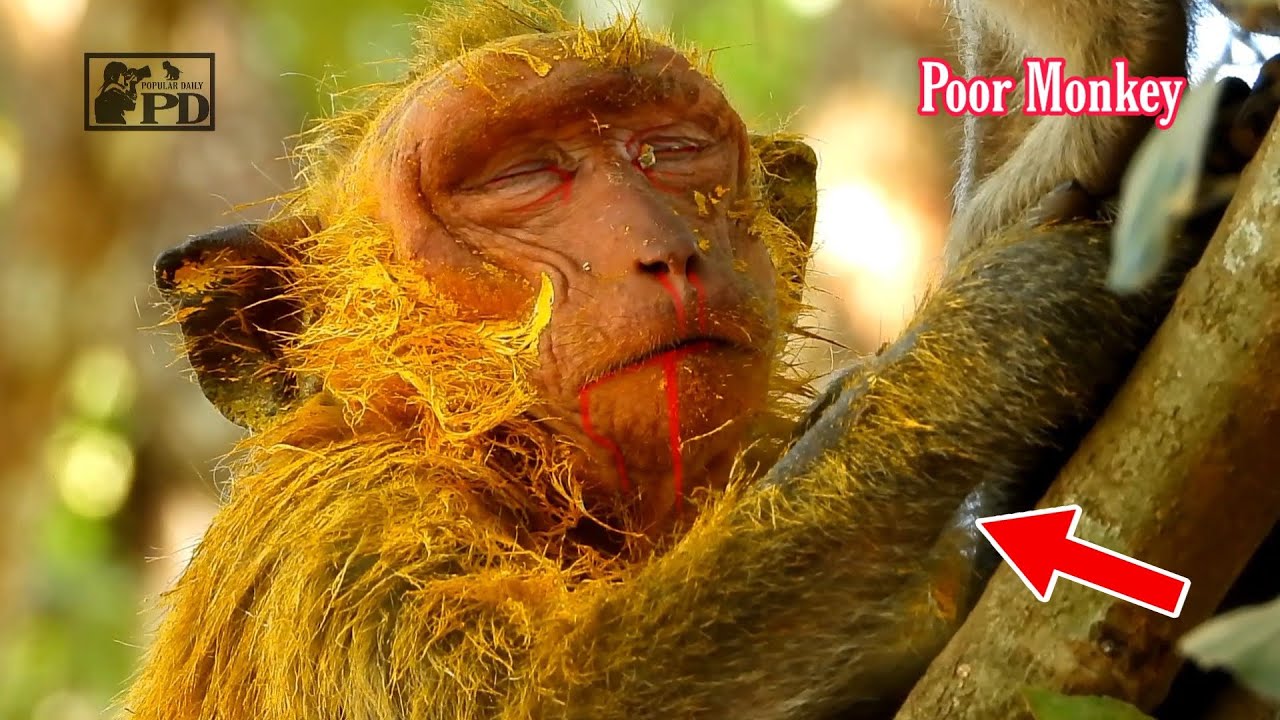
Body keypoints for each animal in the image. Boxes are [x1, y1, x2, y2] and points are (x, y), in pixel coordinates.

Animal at [124, 3, 1279, 719]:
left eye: (669, 151)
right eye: (520, 178)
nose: (665, 247)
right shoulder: (333, 539)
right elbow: (567, 697)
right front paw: (983, 345)